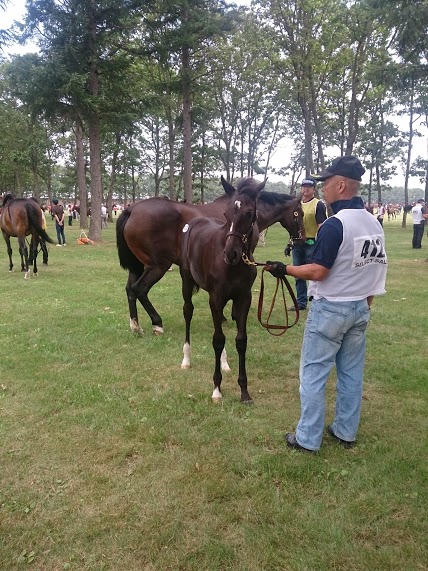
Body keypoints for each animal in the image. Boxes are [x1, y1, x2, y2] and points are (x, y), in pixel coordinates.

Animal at [117, 181, 304, 338]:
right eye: (300, 213)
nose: (300, 239)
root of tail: (131, 209)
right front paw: (232, 315)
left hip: (139, 266)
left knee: (129, 290)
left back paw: (135, 326)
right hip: (157, 266)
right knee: (139, 289)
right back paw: (157, 323)